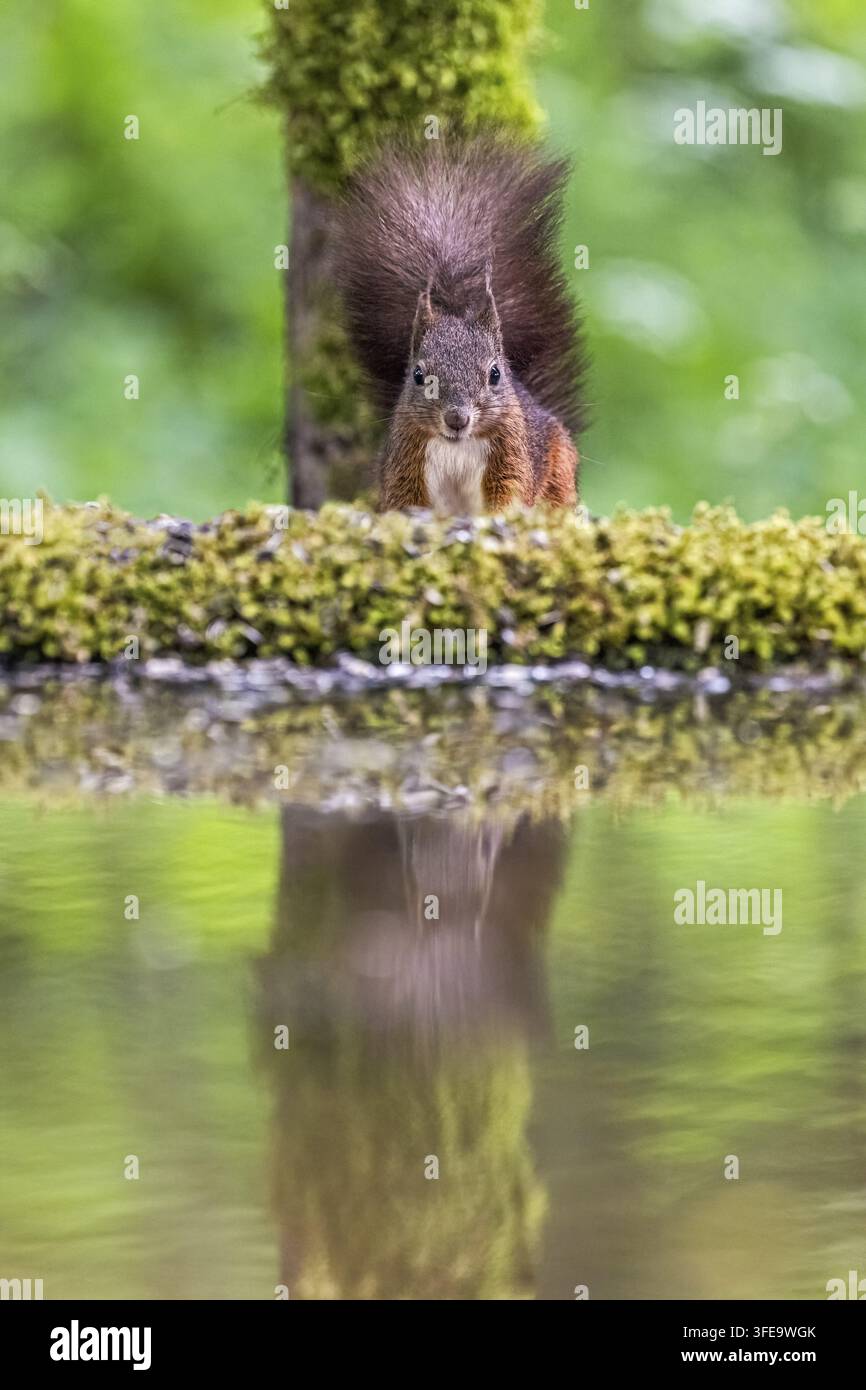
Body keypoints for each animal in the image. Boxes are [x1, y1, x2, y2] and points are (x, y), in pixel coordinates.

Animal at [334, 136, 585, 516]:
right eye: (418, 375)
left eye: (495, 374)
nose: (456, 419)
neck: (456, 446)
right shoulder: (405, 457)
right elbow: (402, 499)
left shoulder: (511, 454)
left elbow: (510, 493)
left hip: (558, 467)